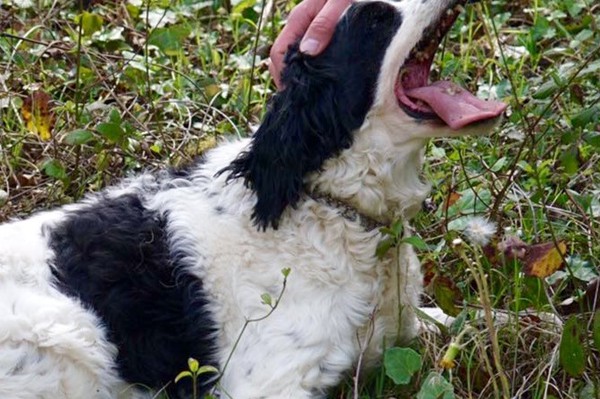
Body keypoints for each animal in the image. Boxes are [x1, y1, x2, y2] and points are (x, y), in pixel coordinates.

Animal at [0, 0, 506, 398]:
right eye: (375, 18)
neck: (324, 206)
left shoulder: (401, 330)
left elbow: (472, 319)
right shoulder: (269, 384)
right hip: (73, 340)